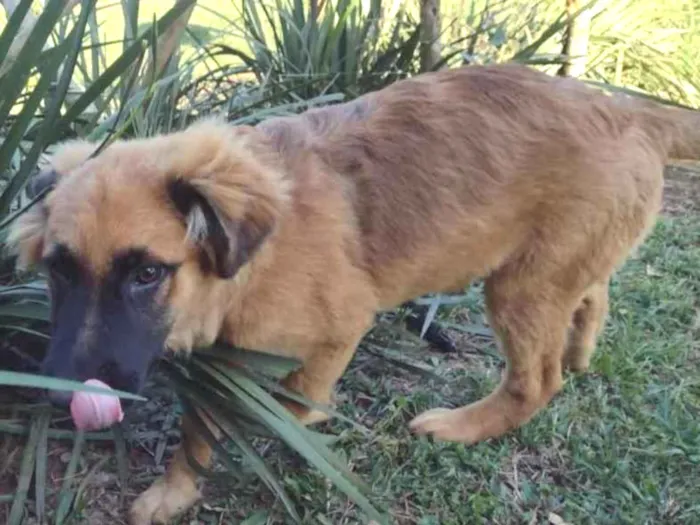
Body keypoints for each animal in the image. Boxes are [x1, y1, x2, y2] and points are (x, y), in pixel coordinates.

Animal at [6, 63, 700, 520]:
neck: (255, 260)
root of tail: (629, 108)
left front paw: (295, 440)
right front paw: (176, 492)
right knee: (593, 293)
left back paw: (462, 425)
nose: (63, 394)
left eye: (147, 274)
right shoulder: (230, 356)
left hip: (518, 286)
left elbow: (282, 412)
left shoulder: (337, 332)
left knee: (535, 380)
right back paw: (581, 349)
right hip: (558, 263)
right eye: (60, 271)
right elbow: (201, 423)